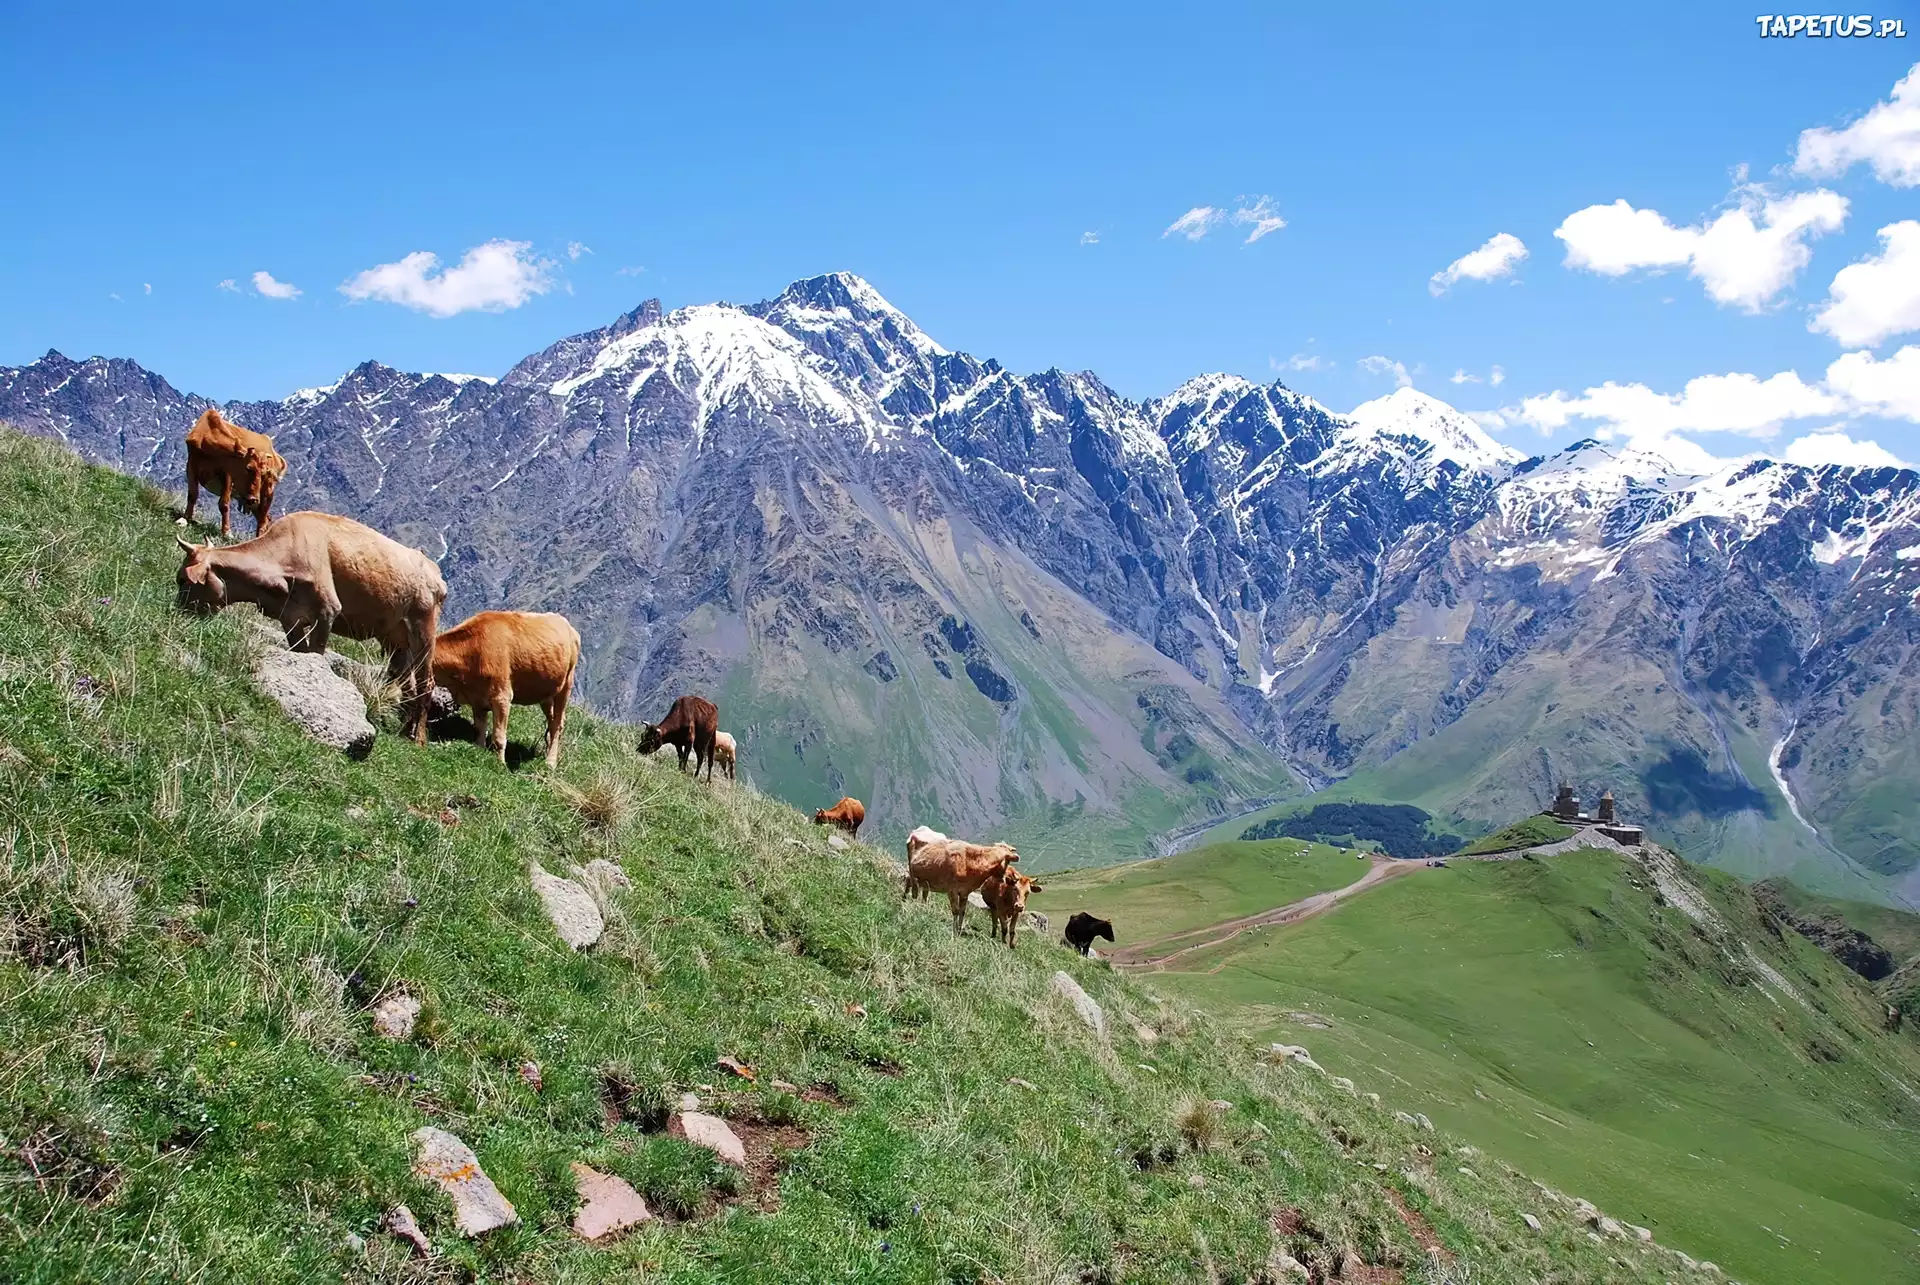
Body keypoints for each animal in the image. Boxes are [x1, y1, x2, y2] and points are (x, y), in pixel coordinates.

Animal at [171, 507, 441, 737]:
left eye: (182, 579)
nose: (176, 610)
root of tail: (433, 571)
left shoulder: (328, 611)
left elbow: (317, 654)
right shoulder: (289, 618)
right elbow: (300, 652)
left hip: (423, 629)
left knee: (426, 683)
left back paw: (417, 737)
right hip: (394, 639)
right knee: (407, 683)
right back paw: (404, 729)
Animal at [185, 405, 289, 537]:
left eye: (263, 473)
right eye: (248, 468)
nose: (254, 498)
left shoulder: (227, 474)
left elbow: (224, 504)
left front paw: (226, 532)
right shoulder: (191, 464)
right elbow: (192, 494)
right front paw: (186, 518)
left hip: (267, 492)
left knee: (263, 517)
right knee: (265, 517)